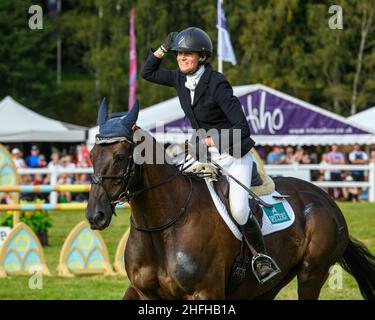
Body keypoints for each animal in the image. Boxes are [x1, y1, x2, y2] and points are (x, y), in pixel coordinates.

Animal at [86, 100, 375, 300]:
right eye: (91, 155)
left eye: (120, 157)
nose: (95, 215)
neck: (163, 227)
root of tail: (326, 198)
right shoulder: (141, 292)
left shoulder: (205, 292)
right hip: (268, 286)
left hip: (311, 274)